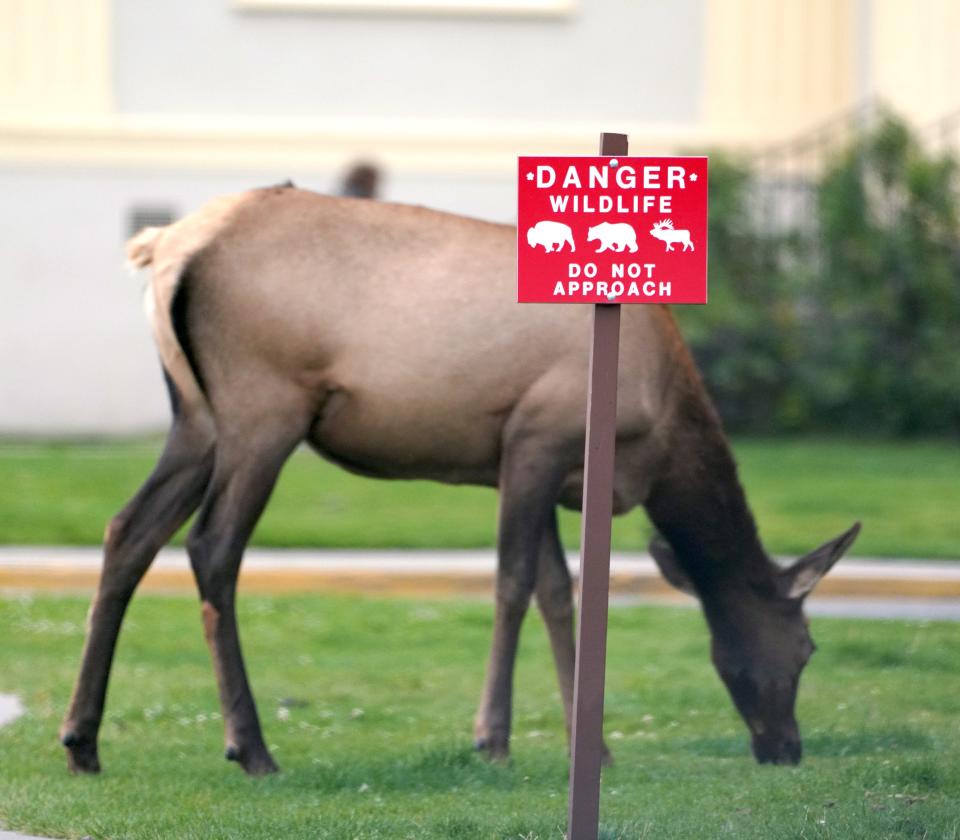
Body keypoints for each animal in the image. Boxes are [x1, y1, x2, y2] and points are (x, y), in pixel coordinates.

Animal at [60, 187, 860, 776]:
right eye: (806, 647)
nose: (786, 749)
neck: (661, 432)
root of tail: (163, 246)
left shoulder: (537, 463)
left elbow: (557, 592)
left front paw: (590, 747)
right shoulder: (536, 435)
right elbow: (512, 584)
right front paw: (492, 739)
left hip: (196, 418)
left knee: (127, 530)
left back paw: (82, 741)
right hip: (265, 405)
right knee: (212, 547)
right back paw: (251, 748)